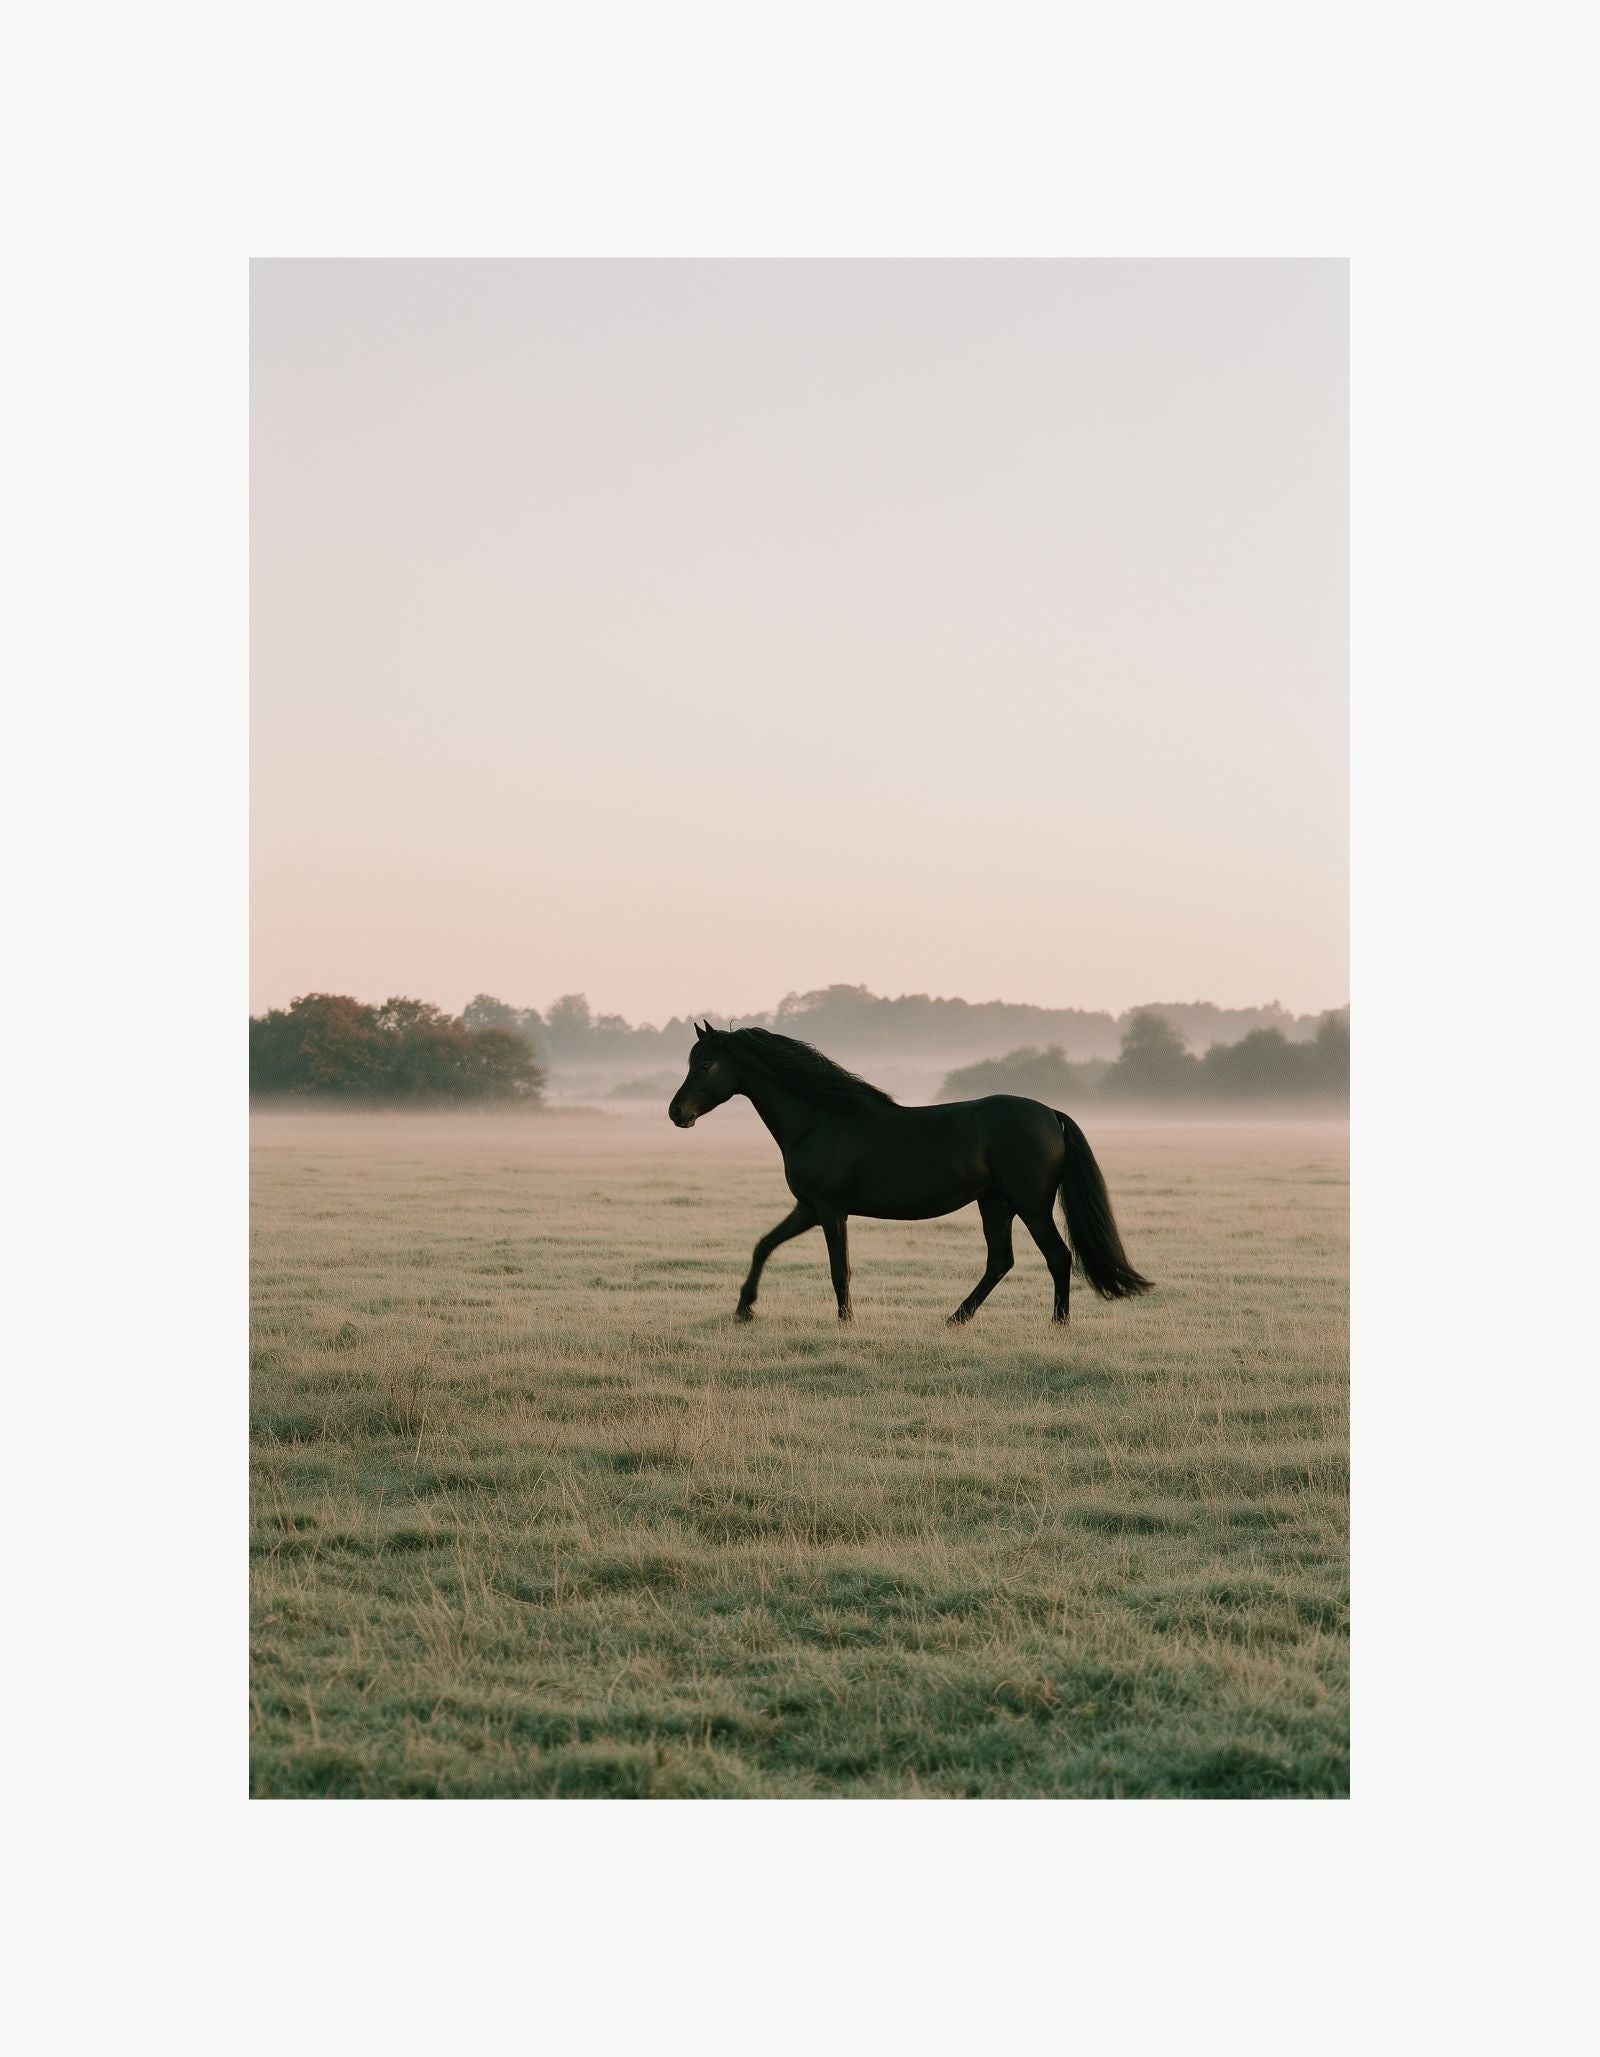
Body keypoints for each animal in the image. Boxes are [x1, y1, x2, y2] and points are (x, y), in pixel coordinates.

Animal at [668, 1023, 1153, 1326]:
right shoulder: (808, 1207)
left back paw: (1057, 1324)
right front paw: (744, 1309)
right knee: (1001, 1261)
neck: (821, 1119)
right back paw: (957, 1317)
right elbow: (763, 1246)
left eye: (706, 1064)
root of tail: (1051, 1114)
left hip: (1030, 1207)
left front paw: (846, 1321)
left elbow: (839, 1269)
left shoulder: (829, 1210)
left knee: (1057, 1257)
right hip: (995, 1203)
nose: (677, 1113)